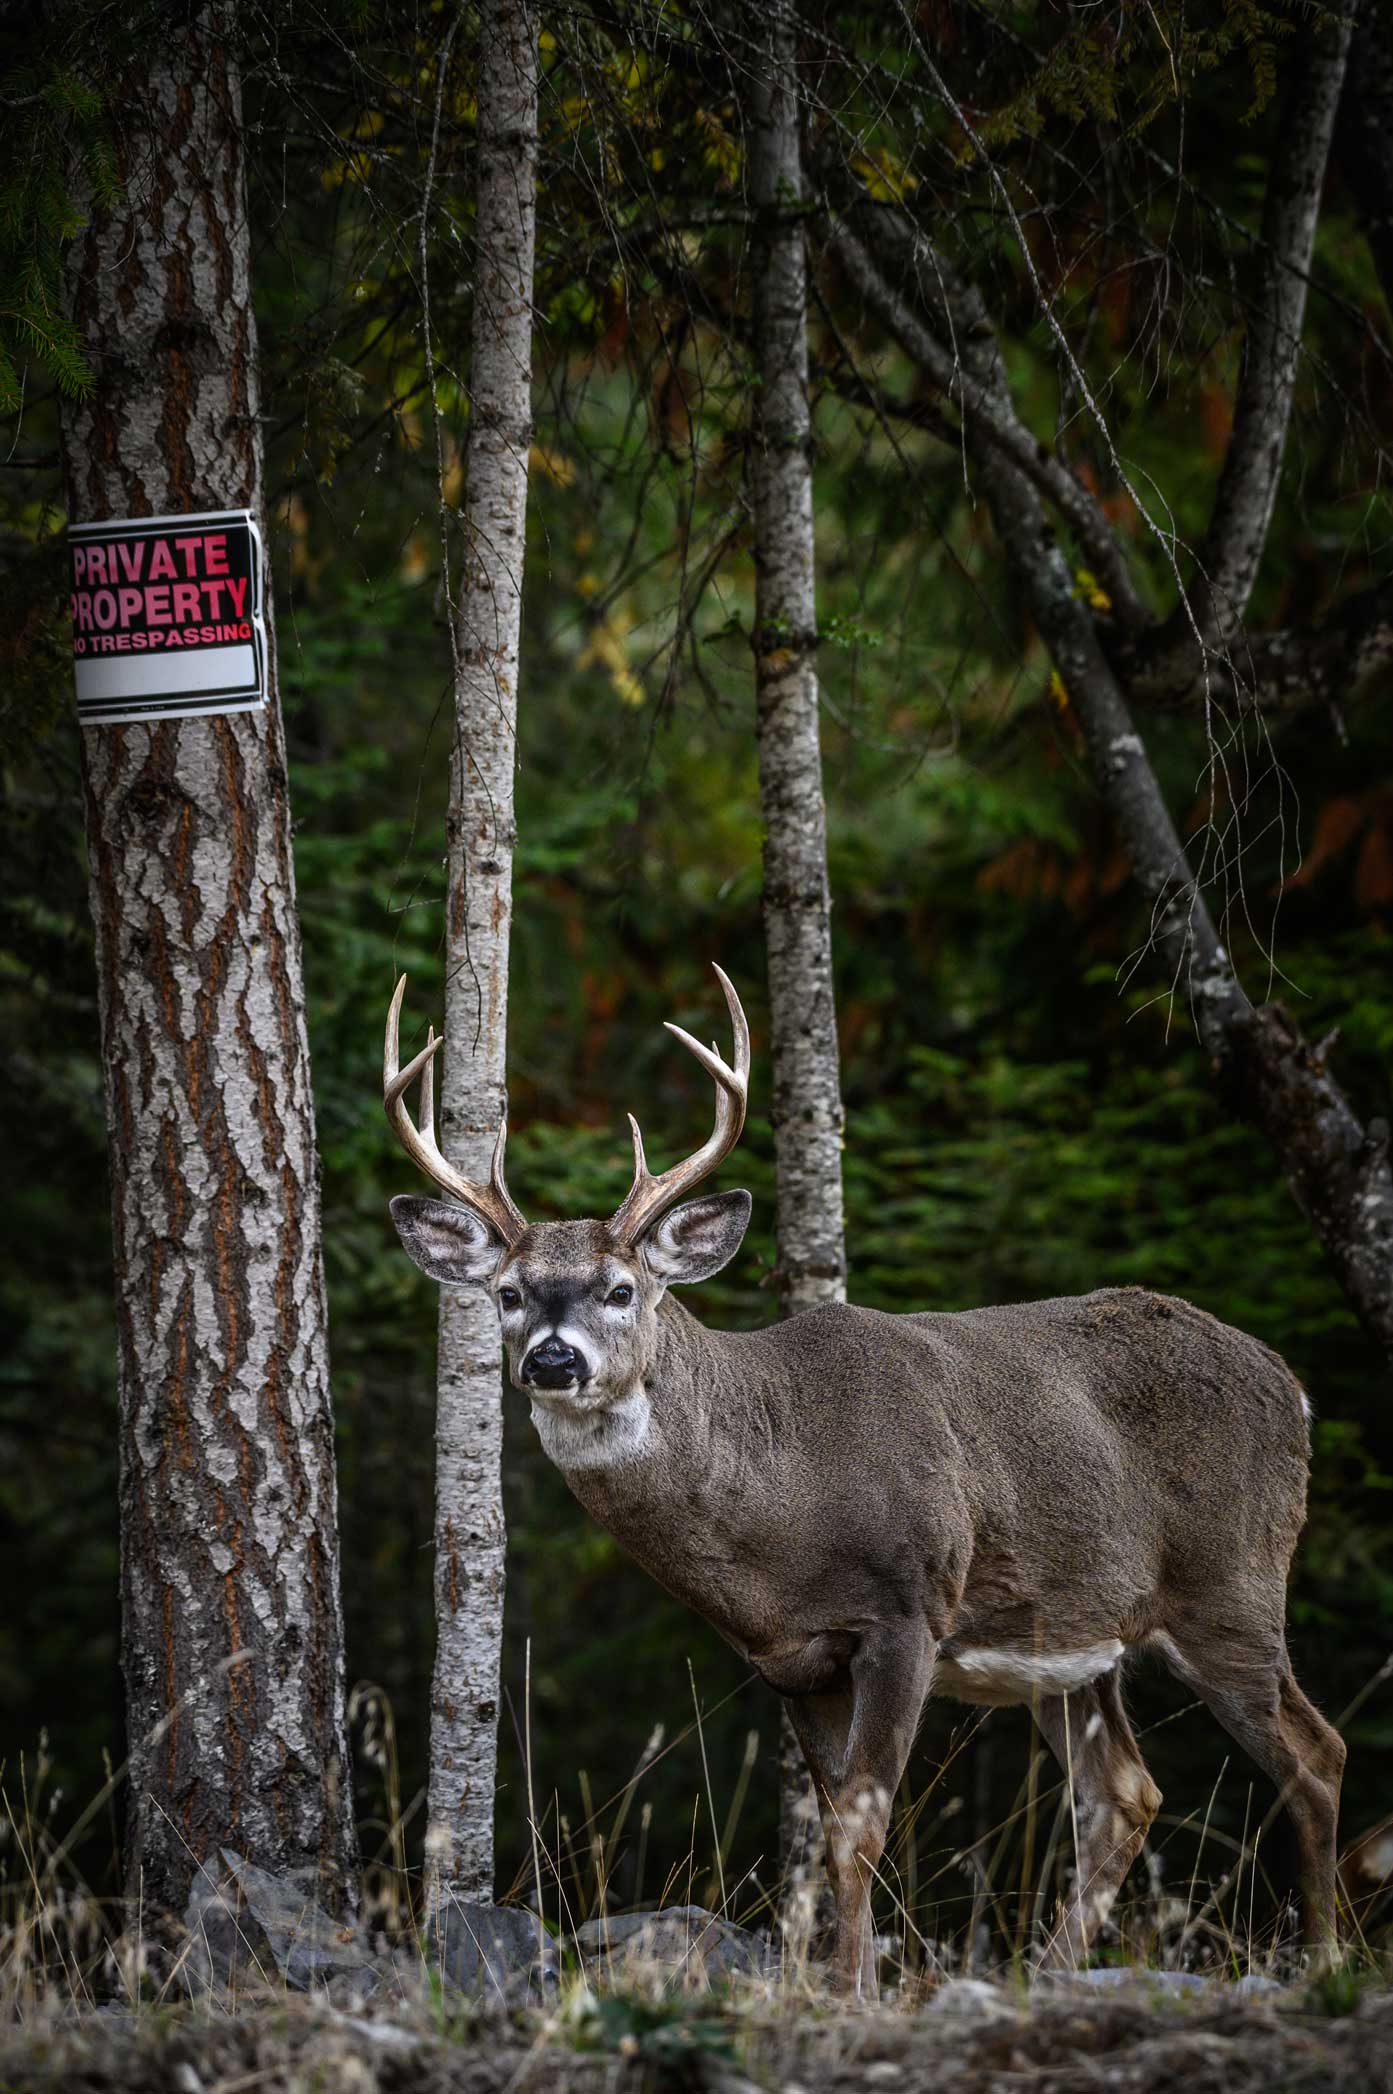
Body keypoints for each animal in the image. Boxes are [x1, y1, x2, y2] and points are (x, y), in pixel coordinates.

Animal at [385, 963, 1340, 1993]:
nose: (553, 1360)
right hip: (1074, 1642)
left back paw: (1325, 1960)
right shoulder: (790, 1659)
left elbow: (863, 1823)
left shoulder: (905, 1610)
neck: (776, 1505)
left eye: (620, 1289)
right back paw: (1050, 1972)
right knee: (1124, 1792)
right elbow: (835, 1823)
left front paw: (850, 1992)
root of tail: (1293, 1387)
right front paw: (844, 1980)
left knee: (1311, 1755)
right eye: (508, 1295)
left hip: (1231, 1584)